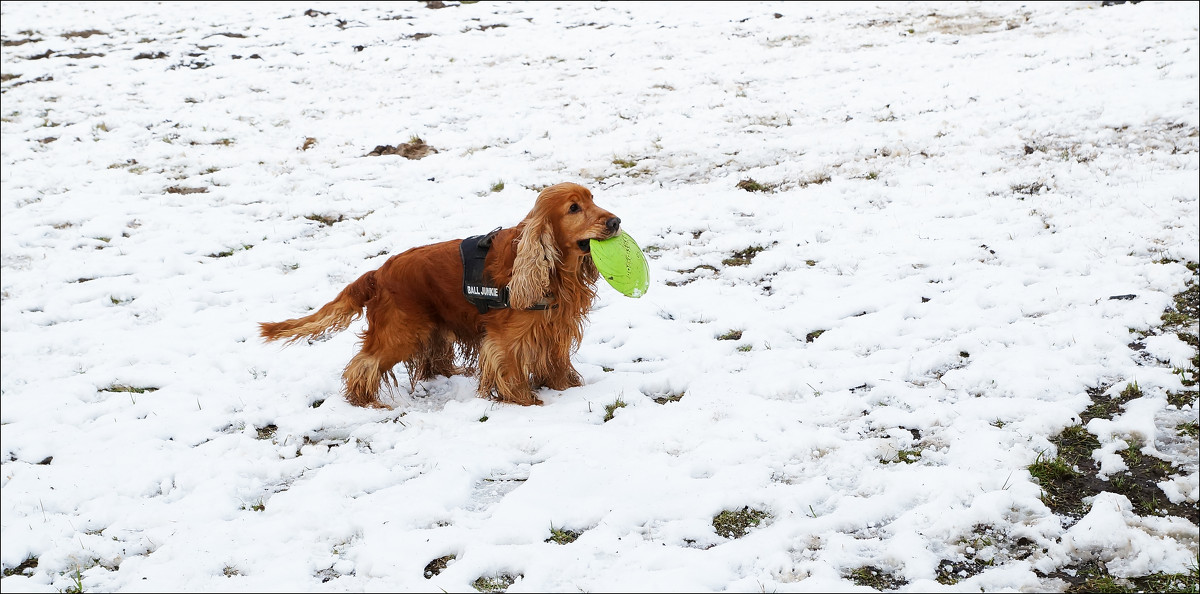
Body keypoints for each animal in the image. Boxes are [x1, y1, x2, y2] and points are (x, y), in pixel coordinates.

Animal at [259, 183, 624, 408]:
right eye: (574, 208)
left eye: (592, 199)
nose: (616, 221)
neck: (550, 267)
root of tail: (378, 274)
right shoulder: (507, 338)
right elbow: (510, 369)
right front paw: (526, 401)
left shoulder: (554, 328)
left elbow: (557, 363)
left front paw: (568, 389)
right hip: (400, 332)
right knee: (362, 364)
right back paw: (366, 402)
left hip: (430, 326)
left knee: (430, 361)